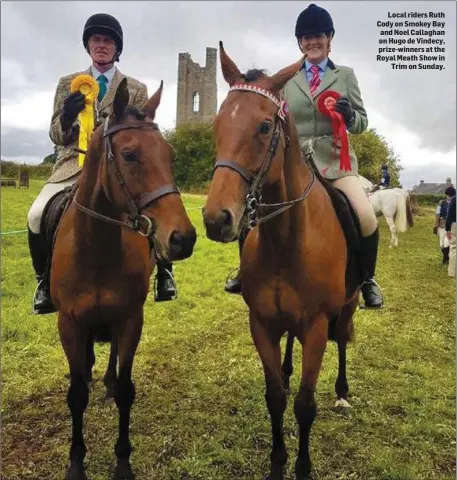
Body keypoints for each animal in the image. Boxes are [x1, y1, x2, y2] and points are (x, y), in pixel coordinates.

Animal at [50, 79, 196, 480]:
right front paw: (76, 463)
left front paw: (122, 463)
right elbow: (76, 395)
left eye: (170, 154)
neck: (97, 248)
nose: (183, 238)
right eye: (129, 155)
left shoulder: (131, 317)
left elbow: (127, 390)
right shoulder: (69, 324)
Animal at [203, 43, 360, 478]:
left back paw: (342, 392)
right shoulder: (261, 322)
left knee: (344, 338)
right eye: (217, 124)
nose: (217, 219)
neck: (286, 239)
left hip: (348, 304)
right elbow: (274, 396)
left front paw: (302, 465)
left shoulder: (317, 325)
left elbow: (305, 405)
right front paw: (277, 462)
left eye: (263, 127)